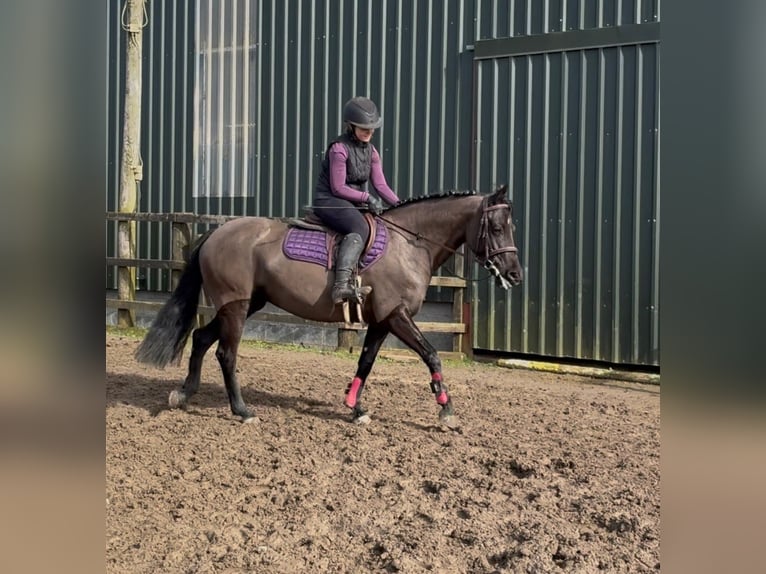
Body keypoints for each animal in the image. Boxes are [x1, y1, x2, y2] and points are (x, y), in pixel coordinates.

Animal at [135, 185, 523, 427]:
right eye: (497, 227)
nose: (515, 274)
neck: (409, 243)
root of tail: (217, 232)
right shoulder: (397, 317)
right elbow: (432, 356)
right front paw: (446, 410)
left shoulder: (382, 321)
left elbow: (366, 362)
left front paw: (355, 408)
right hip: (237, 306)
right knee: (225, 354)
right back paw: (243, 411)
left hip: (248, 303)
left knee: (201, 338)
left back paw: (185, 393)